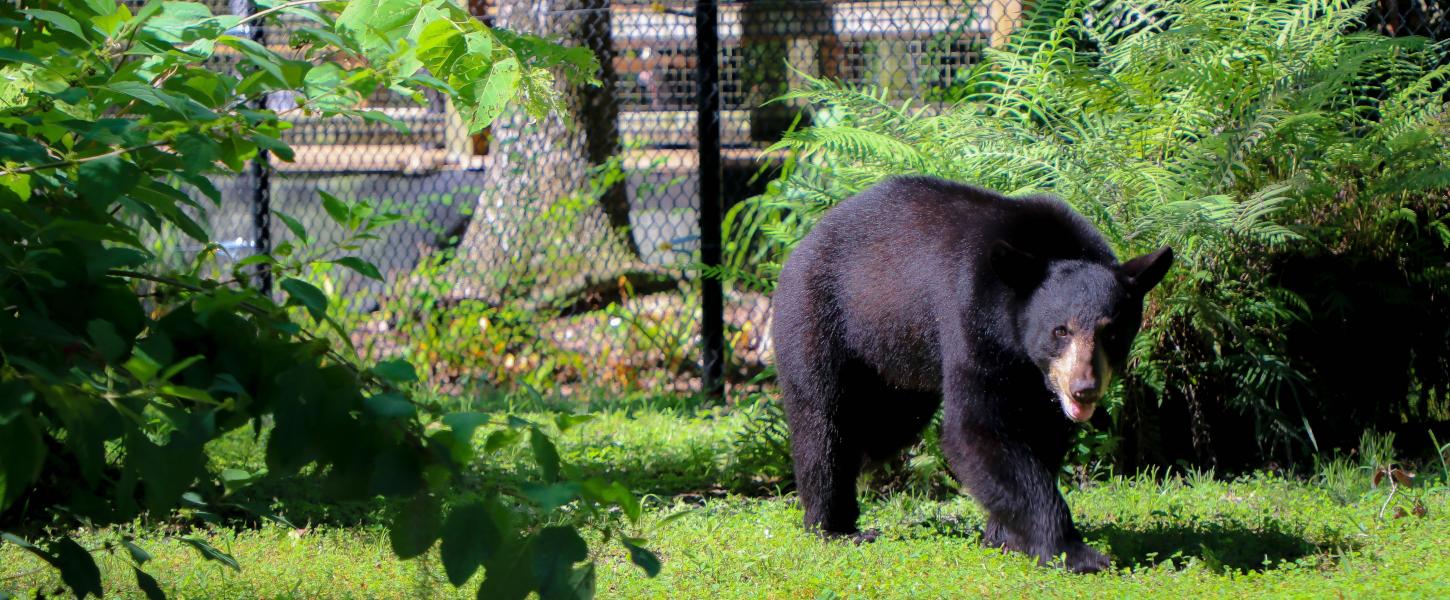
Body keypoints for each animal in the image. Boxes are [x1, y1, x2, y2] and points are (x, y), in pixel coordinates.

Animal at [777, 174, 1171, 571]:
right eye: (1061, 330)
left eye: (1112, 332)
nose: (1083, 389)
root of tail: (802, 243)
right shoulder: (972, 315)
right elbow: (977, 427)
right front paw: (1073, 550)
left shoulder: (1037, 380)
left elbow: (1042, 433)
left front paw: (1006, 535)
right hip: (821, 318)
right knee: (824, 424)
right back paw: (834, 526)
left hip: (896, 367)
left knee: (881, 427)